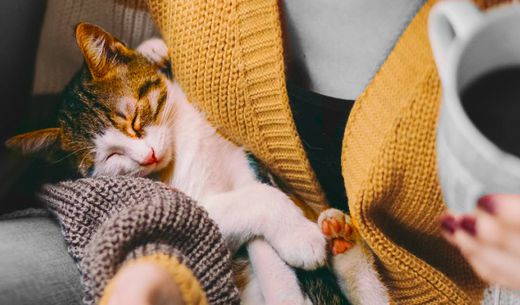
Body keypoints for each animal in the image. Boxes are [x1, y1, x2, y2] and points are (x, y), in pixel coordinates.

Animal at [7, 22, 390, 302]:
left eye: (134, 119)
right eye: (108, 157)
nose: (148, 155)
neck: (182, 142)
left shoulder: (245, 164)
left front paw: (153, 50)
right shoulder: (186, 206)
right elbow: (256, 202)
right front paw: (299, 238)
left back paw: (344, 244)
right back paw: (340, 244)